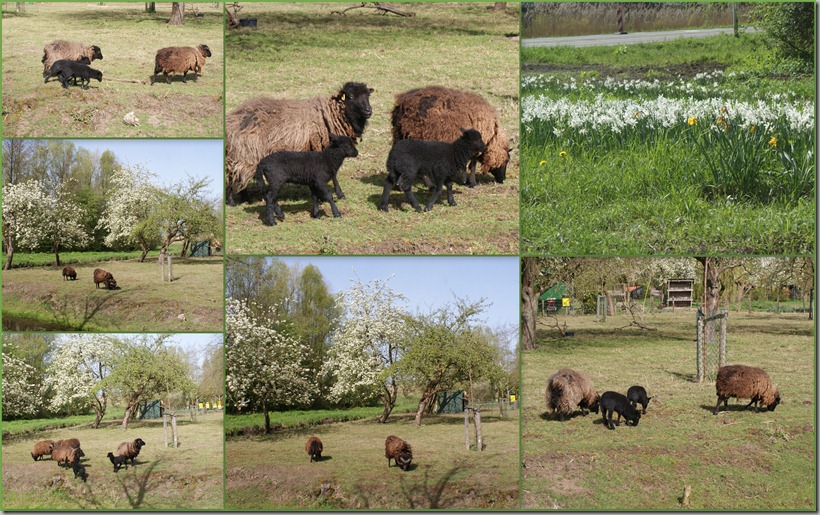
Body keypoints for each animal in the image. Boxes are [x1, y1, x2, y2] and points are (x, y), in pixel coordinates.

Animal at [226, 82, 376, 206]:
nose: (369, 111)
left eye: (368, 95)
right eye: (351, 96)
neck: (330, 115)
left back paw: (245, 199)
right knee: (234, 174)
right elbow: (333, 175)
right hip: (245, 153)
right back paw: (233, 200)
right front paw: (339, 194)